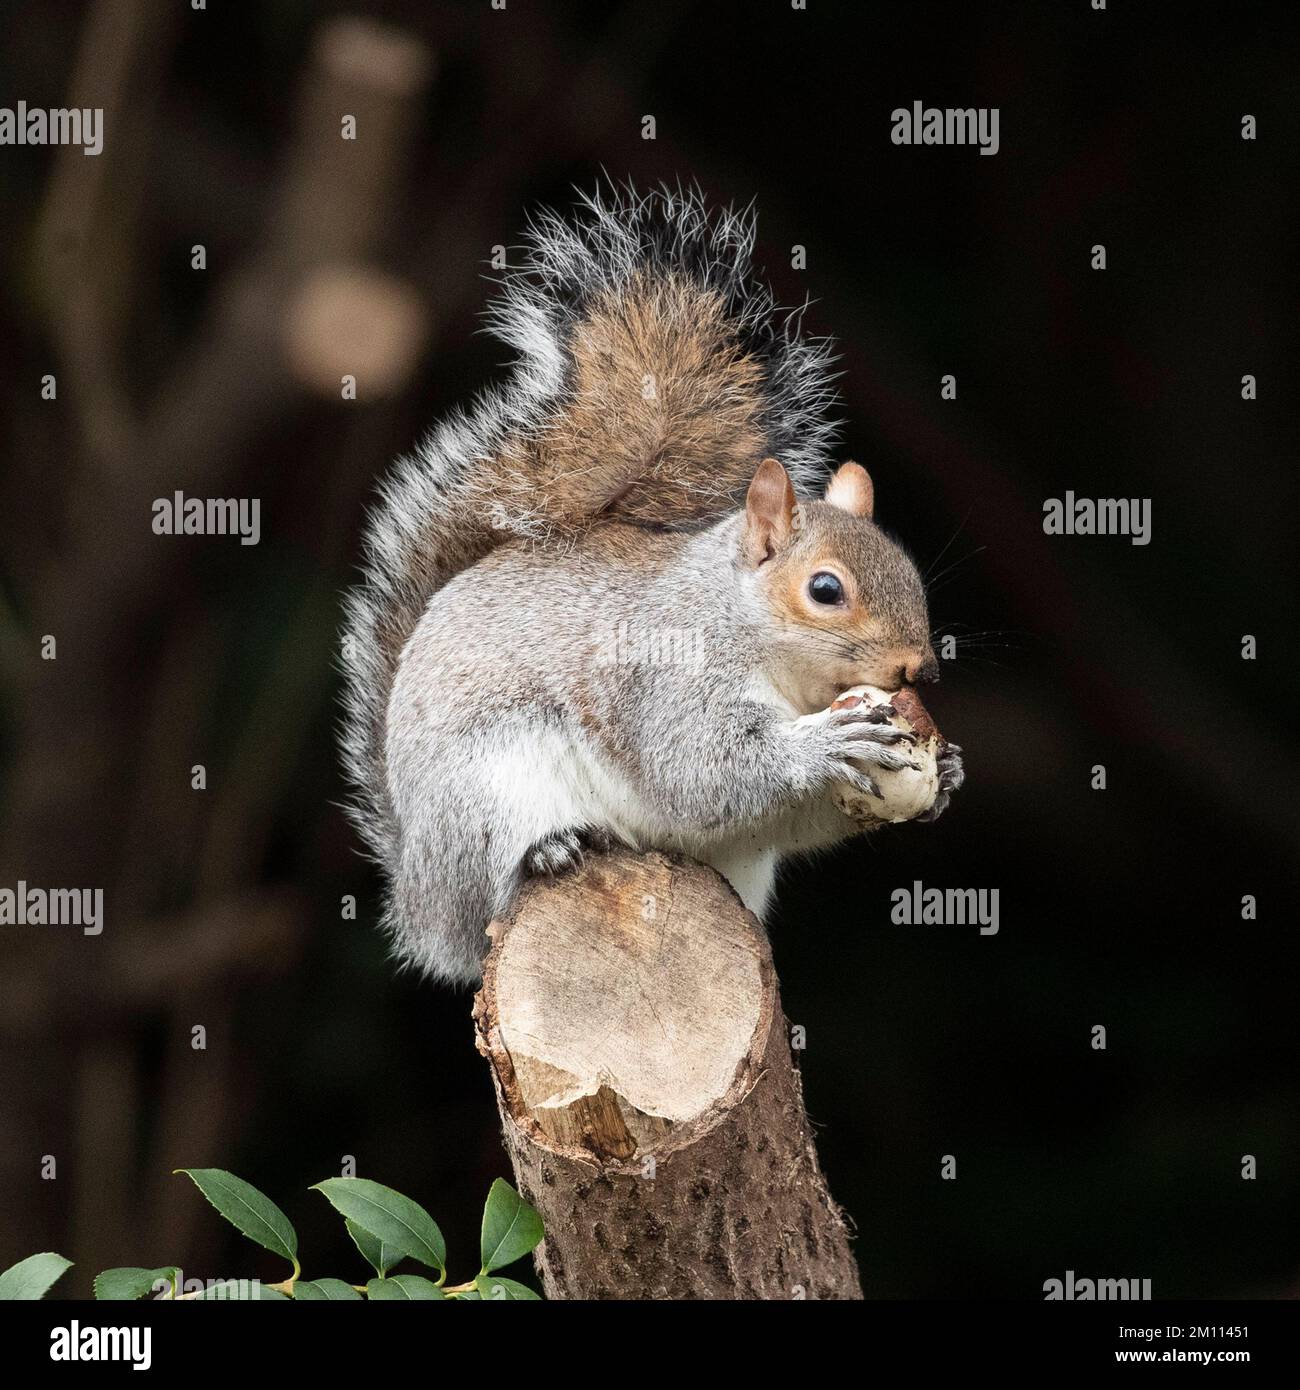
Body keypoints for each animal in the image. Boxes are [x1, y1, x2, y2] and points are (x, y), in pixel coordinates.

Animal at [343, 184, 967, 984]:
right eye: (826, 590)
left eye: (910, 572)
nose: (921, 670)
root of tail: (417, 897)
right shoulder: (662, 674)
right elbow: (697, 767)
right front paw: (823, 745)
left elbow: (791, 814)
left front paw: (945, 769)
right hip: (484, 796)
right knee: (489, 886)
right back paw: (544, 851)